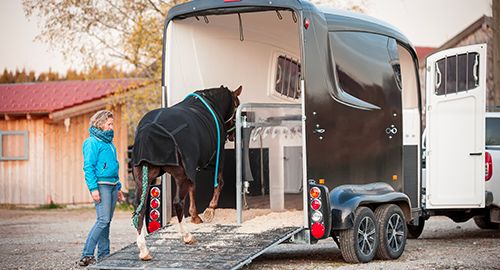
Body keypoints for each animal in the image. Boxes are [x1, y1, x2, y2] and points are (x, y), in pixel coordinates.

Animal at [131, 85, 242, 260]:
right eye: (237, 104)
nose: (232, 135)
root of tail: (149, 132)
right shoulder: (218, 156)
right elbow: (219, 181)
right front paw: (210, 210)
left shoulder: (192, 167)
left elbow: (193, 188)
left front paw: (195, 216)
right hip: (179, 176)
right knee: (177, 202)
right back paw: (187, 236)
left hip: (143, 178)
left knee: (139, 207)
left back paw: (144, 250)